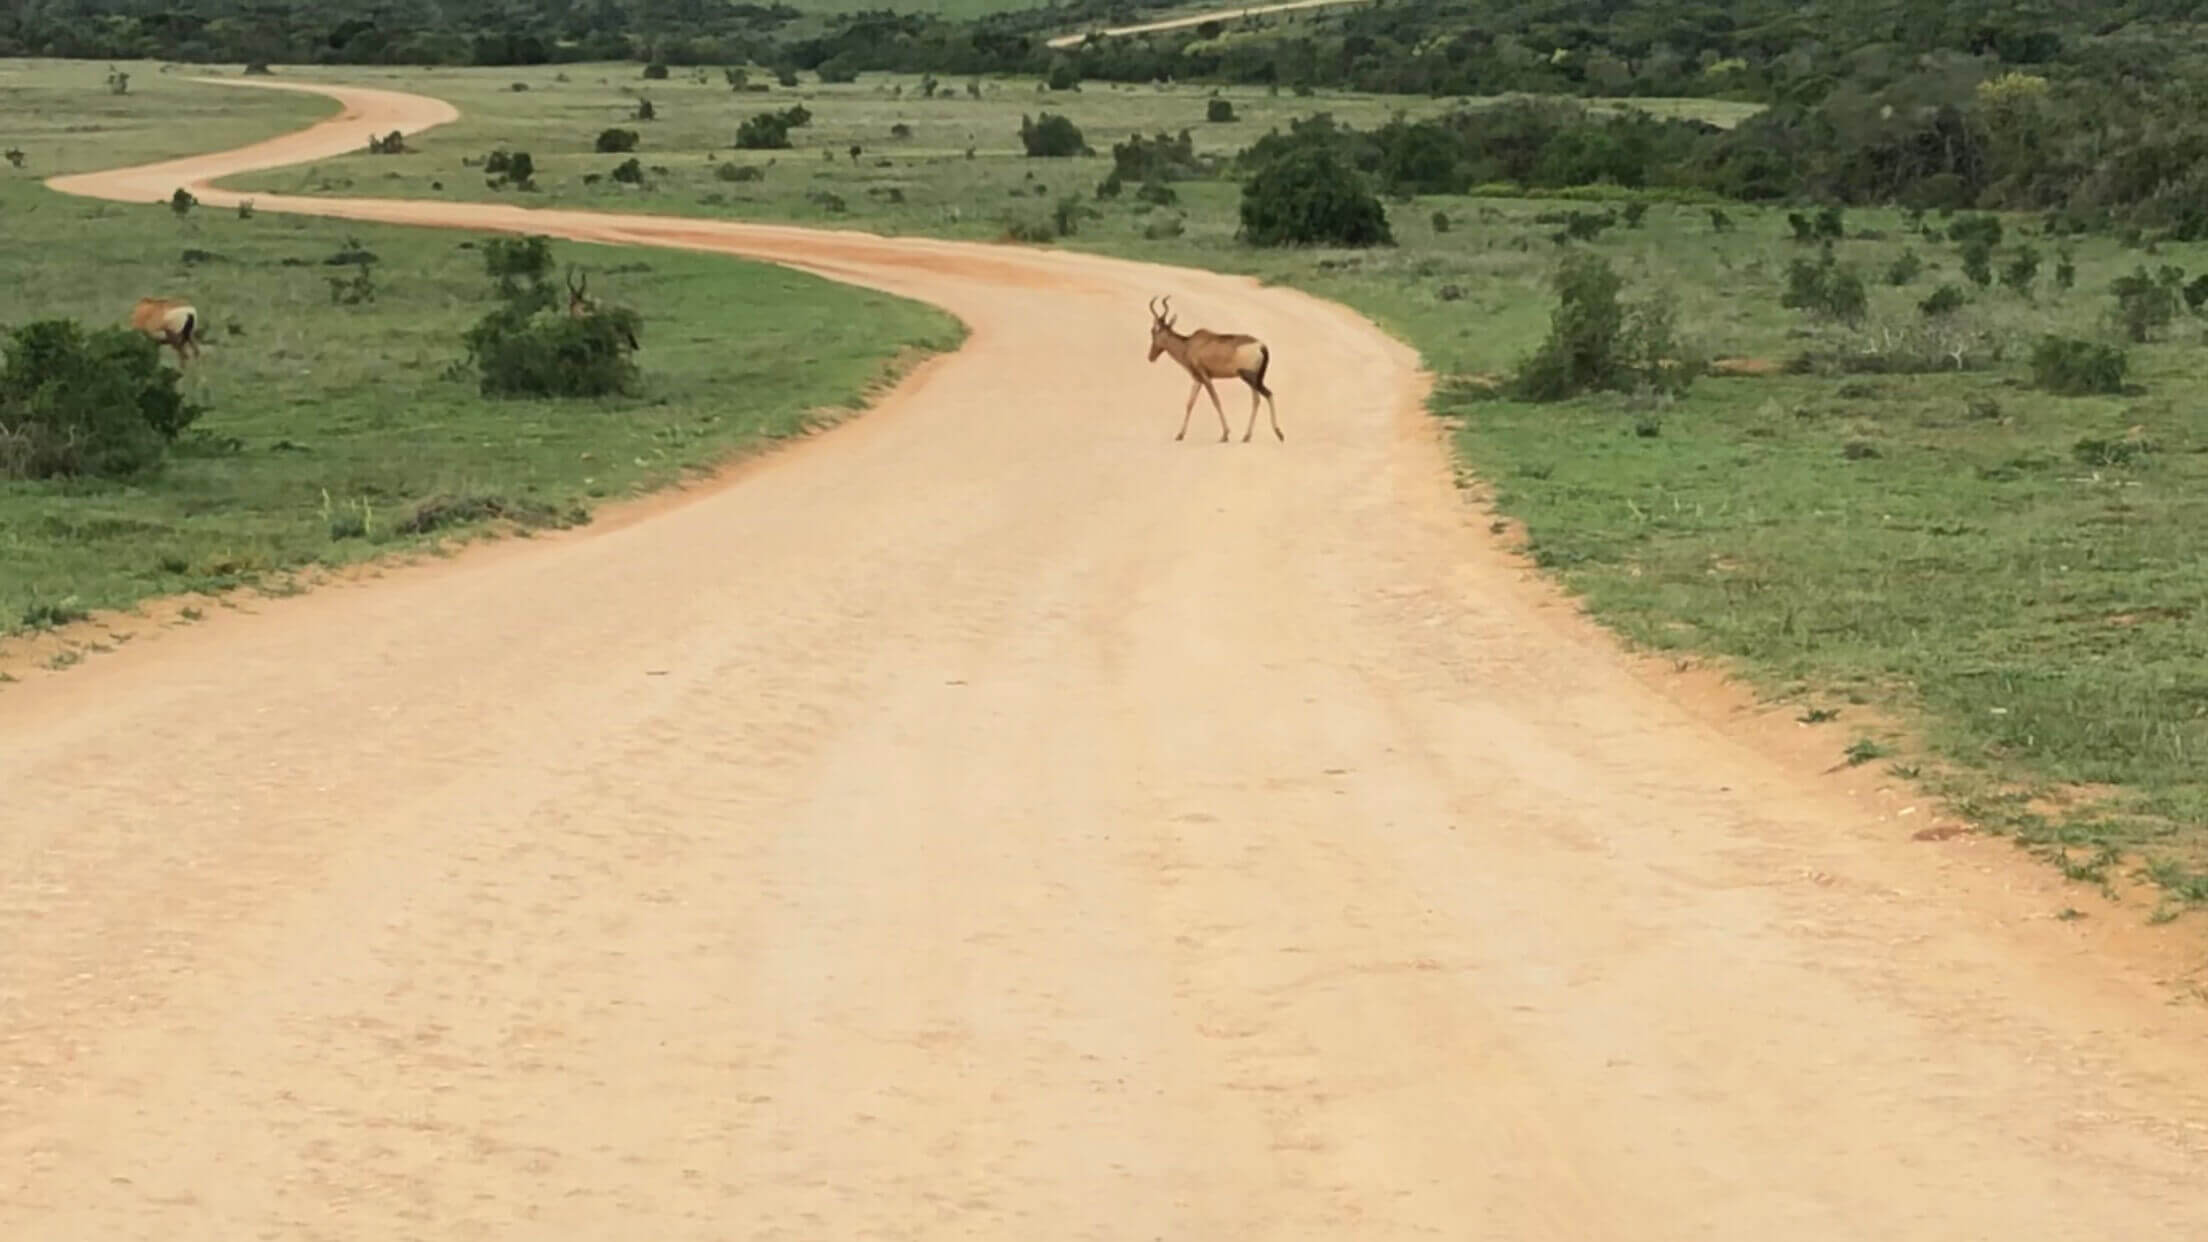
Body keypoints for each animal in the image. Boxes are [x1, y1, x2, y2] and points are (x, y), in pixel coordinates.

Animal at [1139, 293, 1280, 439]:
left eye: (1153, 332)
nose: (1151, 357)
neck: (1189, 344)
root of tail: (1261, 346)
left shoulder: (1206, 377)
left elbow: (1216, 401)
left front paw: (1225, 434)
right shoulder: (1197, 379)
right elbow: (1190, 403)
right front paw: (1180, 434)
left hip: (1248, 376)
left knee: (1263, 396)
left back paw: (1264, 434)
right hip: (1256, 379)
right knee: (1261, 398)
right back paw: (1258, 435)